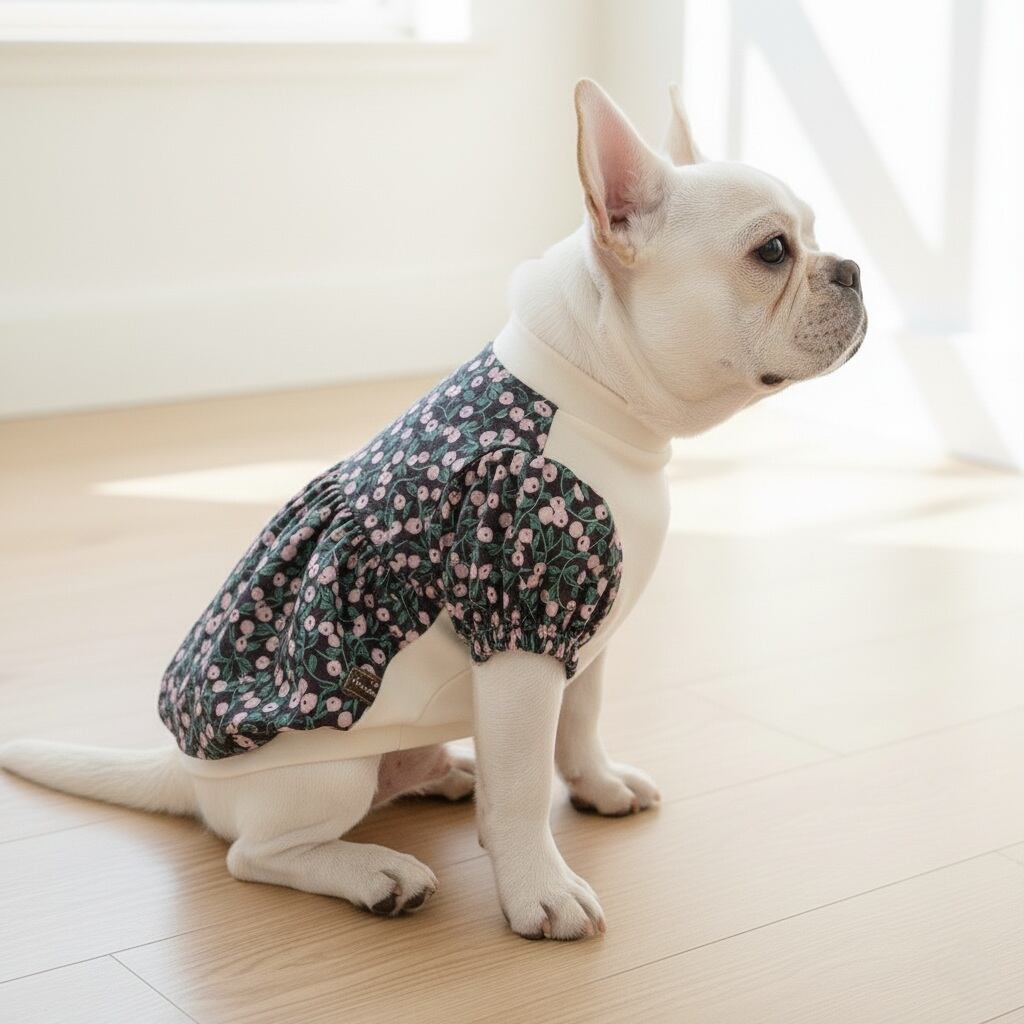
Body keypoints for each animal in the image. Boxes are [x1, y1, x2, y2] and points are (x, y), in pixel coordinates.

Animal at [0, 80, 866, 941]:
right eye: (772, 252)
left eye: (815, 233)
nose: (854, 268)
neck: (594, 391)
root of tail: (183, 769)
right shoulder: (520, 634)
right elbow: (522, 786)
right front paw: (540, 889)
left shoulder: (582, 631)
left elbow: (580, 722)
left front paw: (597, 784)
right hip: (328, 771)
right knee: (254, 854)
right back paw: (376, 874)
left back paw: (442, 771)